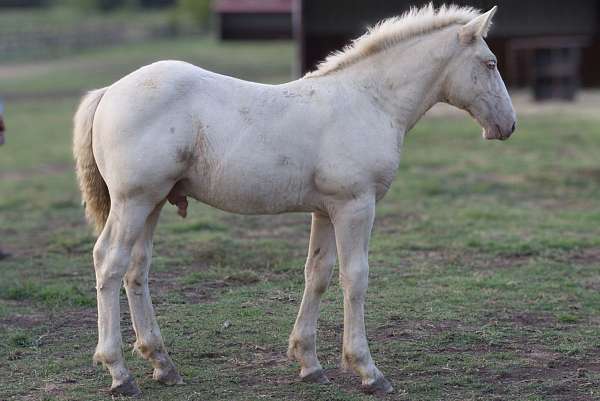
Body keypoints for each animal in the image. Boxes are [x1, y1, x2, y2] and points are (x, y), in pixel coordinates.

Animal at [74, 4, 516, 396]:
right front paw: (367, 370)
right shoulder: (356, 205)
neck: (369, 100)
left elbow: (317, 275)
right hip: (133, 201)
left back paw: (162, 364)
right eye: (491, 63)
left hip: (152, 203)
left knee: (136, 270)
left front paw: (309, 363)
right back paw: (119, 372)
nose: (508, 125)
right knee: (109, 262)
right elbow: (355, 277)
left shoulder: (326, 210)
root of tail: (109, 91)